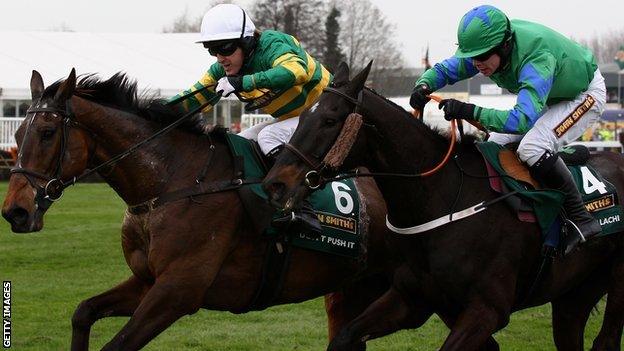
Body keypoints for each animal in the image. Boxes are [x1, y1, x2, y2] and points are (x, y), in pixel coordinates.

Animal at [1, 70, 394, 350]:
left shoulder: (179, 291)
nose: (15, 211)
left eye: (48, 133)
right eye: (18, 135)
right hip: (349, 288)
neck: (171, 182)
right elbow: (83, 312)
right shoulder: (148, 281)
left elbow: (117, 345)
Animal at [262, 62, 624, 350]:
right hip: (574, 295)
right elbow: (344, 336)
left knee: (605, 340)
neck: (443, 198)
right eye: (302, 116)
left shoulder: (487, 309)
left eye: (329, 120)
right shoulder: (414, 298)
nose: (275, 184)